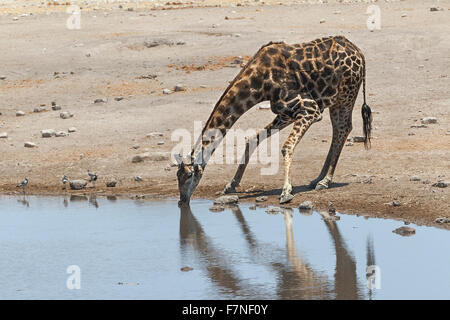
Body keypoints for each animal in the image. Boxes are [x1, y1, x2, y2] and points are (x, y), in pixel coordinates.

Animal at [177, 35, 372, 205]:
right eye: (177, 176)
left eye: (189, 176)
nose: (182, 200)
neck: (257, 85)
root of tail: (360, 52)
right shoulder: (286, 112)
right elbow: (252, 139)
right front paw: (231, 185)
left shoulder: (310, 109)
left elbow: (286, 147)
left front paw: (286, 192)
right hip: (335, 100)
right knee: (338, 130)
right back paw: (318, 178)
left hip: (345, 96)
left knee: (343, 128)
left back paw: (325, 181)